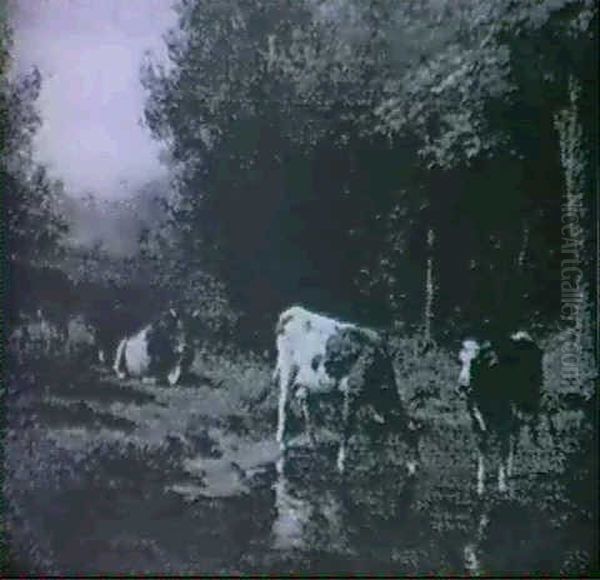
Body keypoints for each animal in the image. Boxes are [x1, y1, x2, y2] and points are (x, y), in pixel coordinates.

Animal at [274, 306, 420, 474]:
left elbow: (374, 431)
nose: (417, 466)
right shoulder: (352, 392)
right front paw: (341, 464)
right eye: (411, 440)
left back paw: (313, 442)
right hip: (287, 368)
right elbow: (346, 428)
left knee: (305, 405)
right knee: (283, 405)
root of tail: (294, 311)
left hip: (306, 381)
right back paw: (281, 442)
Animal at [460, 328, 552, 496]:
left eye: (476, 361)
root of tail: (521, 336)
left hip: (530, 403)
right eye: (460, 361)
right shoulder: (477, 424)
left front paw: (502, 485)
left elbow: (502, 449)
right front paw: (481, 486)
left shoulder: (504, 421)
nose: (463, 386)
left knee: (524, 432)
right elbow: (483, 451)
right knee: (515, 436)